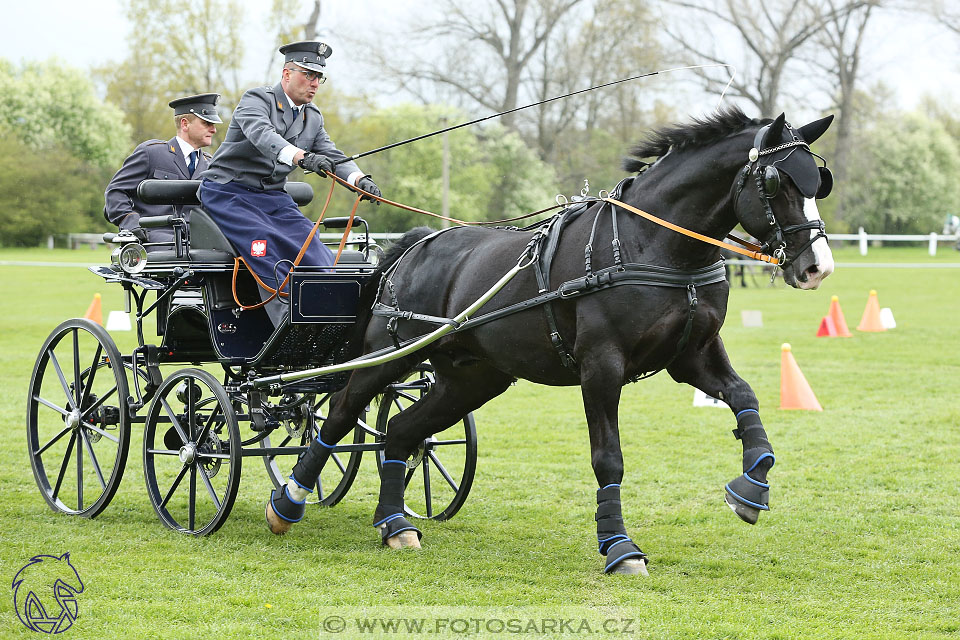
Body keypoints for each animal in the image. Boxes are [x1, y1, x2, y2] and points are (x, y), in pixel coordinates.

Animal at [268, 107, 832, 572]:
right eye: (777, 181)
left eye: (818, 182)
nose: (816, 267)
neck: (655, 247)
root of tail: (415, 246)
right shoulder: (601, 366)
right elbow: (608, 457)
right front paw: (619, 547)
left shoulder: (692, 356)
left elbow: (745, 398)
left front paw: (752, 488)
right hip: (390, 356)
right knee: (341, 411)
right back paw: (289, 501)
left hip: (471, 377)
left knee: (402, 430)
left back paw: (395, 525)